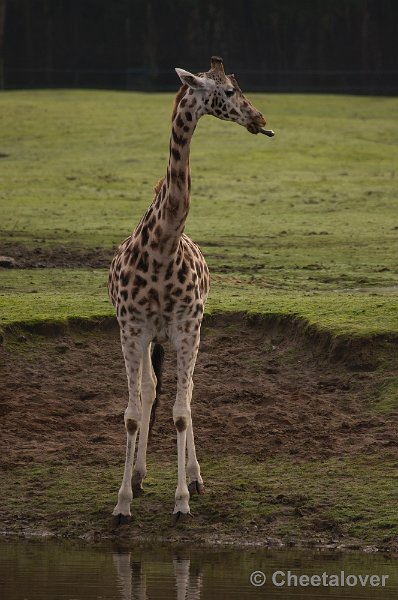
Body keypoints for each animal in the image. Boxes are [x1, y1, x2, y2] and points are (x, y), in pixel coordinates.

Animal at [107, 56, 274, 524]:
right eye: (230, 91)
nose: (261, 119)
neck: (163, 246)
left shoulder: (186, 325)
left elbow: (181, 413)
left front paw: (181, 499)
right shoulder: (132, 328)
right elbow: (131, 413)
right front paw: (122, 501)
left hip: (189, 333)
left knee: (189, 390)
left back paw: (196, 479)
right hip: (153, 337)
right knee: (150, 389)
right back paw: (139, 475)